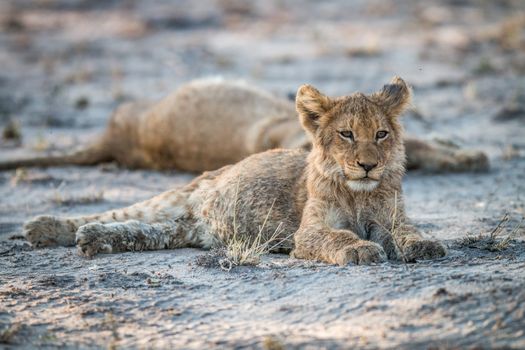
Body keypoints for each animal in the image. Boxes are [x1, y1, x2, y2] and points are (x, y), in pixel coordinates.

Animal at [22, 78, 444, 266]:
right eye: (347, 134)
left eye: (381, 134)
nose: (369, 165)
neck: (359, 193)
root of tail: (198, 217)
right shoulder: (308, 232)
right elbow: (336, 237)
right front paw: (360, 249)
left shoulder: (392, 218)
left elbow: (407, 232)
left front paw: (424, 246)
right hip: (175, 195)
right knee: (114, 213)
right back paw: (43, 227)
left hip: (172, 231)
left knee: (139, 231)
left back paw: (91, 240)